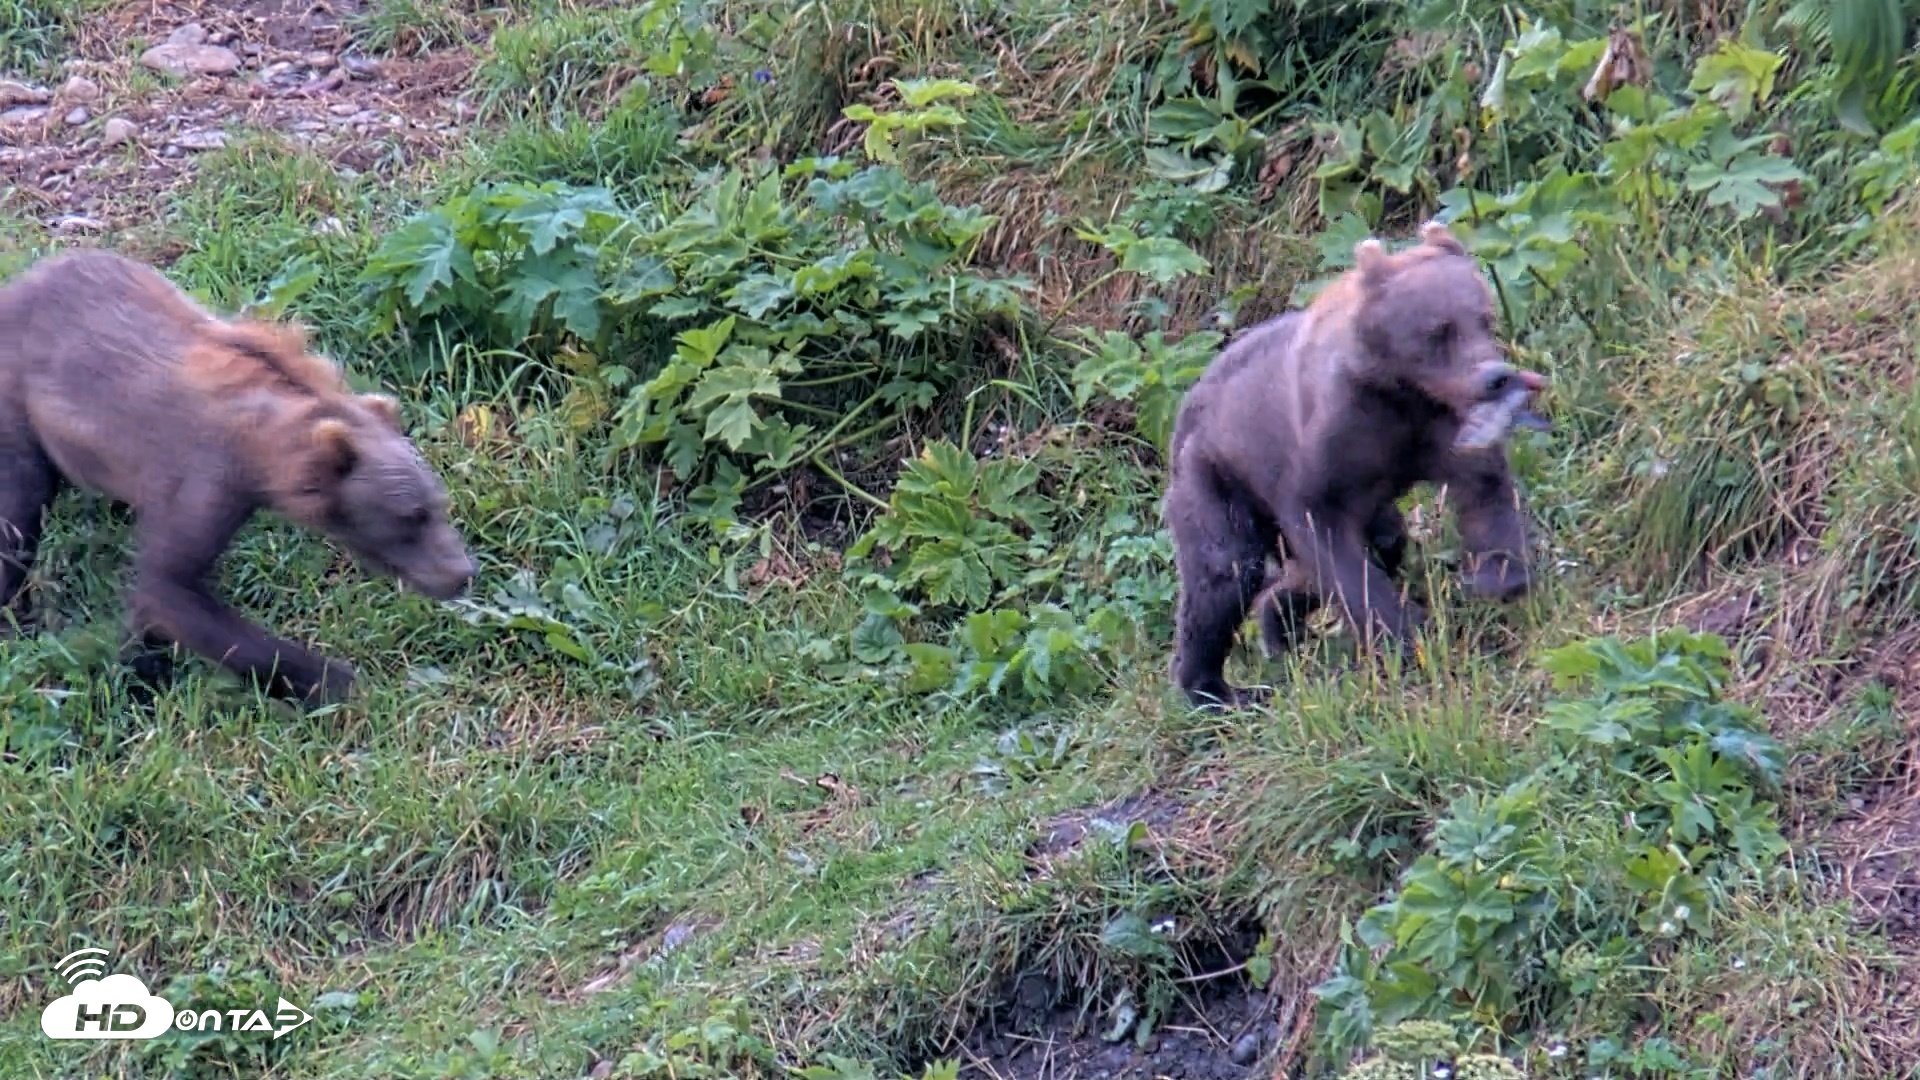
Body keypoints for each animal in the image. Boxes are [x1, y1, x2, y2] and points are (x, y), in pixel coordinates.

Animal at [0, 247, 477, 707]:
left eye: (438, 504)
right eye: (410, 515)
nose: (463, 572)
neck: (262, 451)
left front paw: (141, 664)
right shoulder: (205, 481)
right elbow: (171, 589)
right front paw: (335, 680)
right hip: (19, 412)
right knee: (19, 516)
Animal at [1162, 221, 1549, 709]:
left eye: (1484, 316)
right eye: (1438, 331)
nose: (1496, 377)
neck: (1401, 390)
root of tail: (1182, 411)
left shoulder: (1433, 431)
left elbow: (1483, 487)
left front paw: (1497, 576)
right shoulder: (1330, 444)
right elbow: (1326, 536)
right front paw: (1404, 631)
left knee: (1379, 541)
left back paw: (1280, 627)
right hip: (1215, 475)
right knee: (1224, 571)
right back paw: (1216, 689)